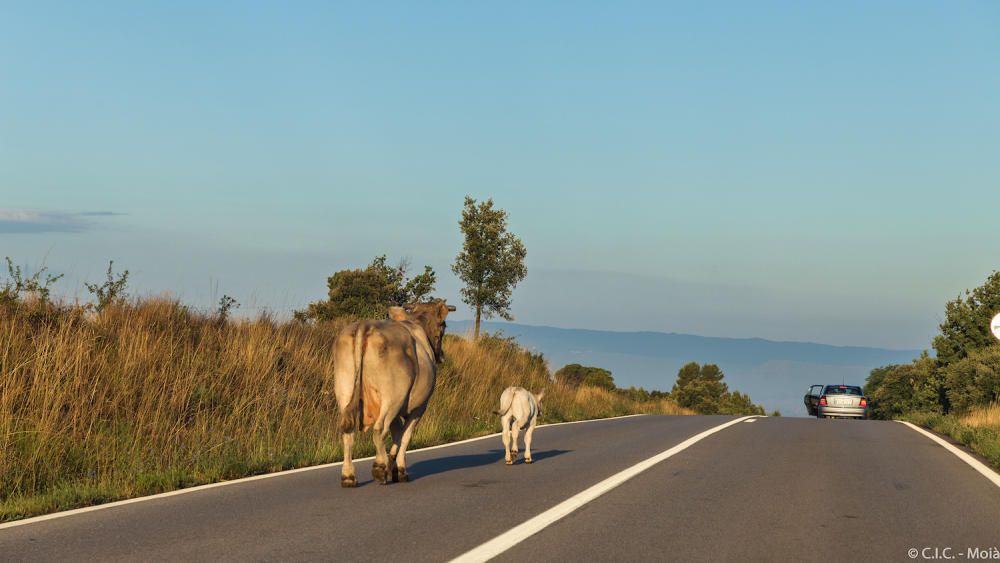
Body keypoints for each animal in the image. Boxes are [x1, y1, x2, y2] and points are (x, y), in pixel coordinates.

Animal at [334, 302, 456, 486]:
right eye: (443, 325)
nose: (441, 355)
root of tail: (365, 324)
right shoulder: (419, 407)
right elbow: (405, 436)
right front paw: (399, 469)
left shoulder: (399, 411)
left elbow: (397, 433)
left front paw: (393, 467)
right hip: (393, 397)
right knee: (379, 429)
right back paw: (379, 466)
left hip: (345, 390)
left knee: (347, 432)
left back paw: (348, 476)